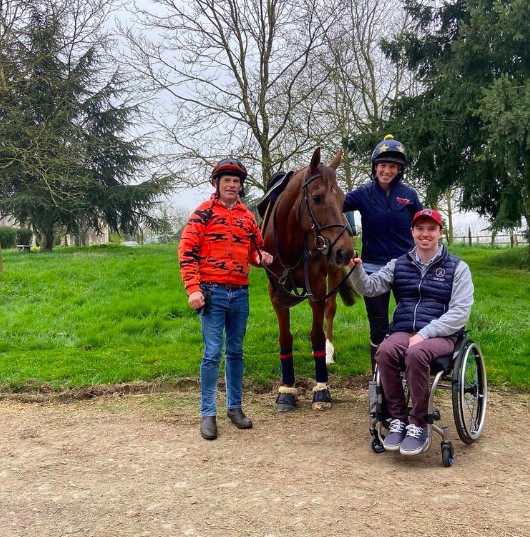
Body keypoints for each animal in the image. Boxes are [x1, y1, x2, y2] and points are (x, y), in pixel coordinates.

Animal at [260, 147, 352, 410]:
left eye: (343, 199)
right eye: (318, 198)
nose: (345, 251)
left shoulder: (318, 287)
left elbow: (316, 335)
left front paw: (321, 388)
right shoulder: (276, 292)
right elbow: (285, 337)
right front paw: (287, 389)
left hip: (334, 273)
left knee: (330, 312)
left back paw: (329, 352)